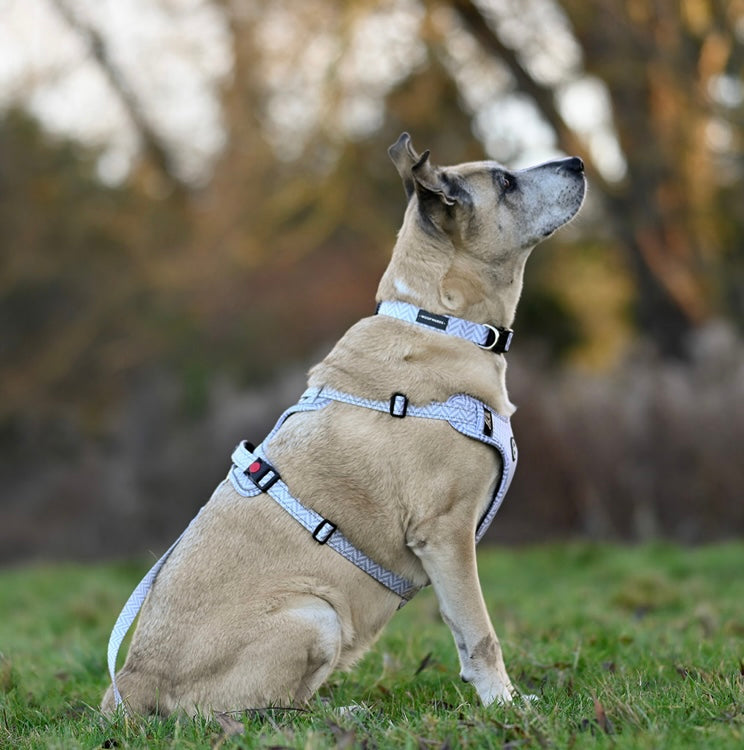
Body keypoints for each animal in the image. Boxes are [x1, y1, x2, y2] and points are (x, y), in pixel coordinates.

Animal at [100, 134, 588, 716]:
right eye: (506, 183)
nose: (578, 162)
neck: (442, 319)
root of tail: (131, 683)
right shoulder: (446, 533)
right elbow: (479, 632)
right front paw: (505, 705)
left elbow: (464, 629)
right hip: (316, 612)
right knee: (253, 713)